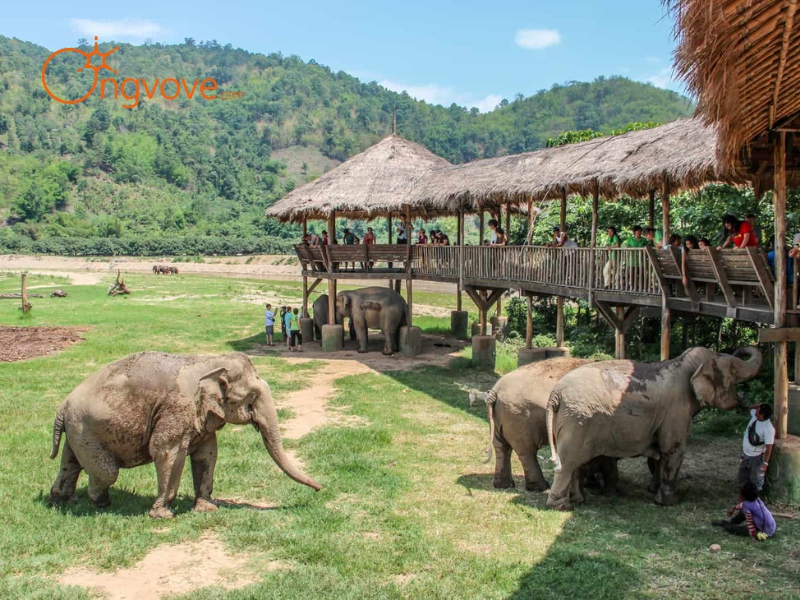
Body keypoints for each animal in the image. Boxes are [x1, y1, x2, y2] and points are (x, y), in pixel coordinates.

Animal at [47, 350, 318, 516]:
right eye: (251, 398)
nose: (320, 488)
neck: (208, 362)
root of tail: (62, 406)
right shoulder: (176, 409)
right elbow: (166, 452)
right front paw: (163, 514)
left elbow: (208, 455)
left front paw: (207, 509)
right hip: (86, 430)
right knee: (106, 472)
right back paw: (100, 502)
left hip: (78, 432)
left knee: (70, 464)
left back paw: (62, 500)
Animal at [544, 344, 764, 508]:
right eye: (733, 369)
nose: (740, 348)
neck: (682, 363)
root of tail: (555, 393)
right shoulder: (676, 410)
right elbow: (673, 449)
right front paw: (671, 502)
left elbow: (660, 454)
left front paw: (653, 491)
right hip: (577, 421)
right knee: (568, 462)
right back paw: (562, 506)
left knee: (575, 464)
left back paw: (578, 500)